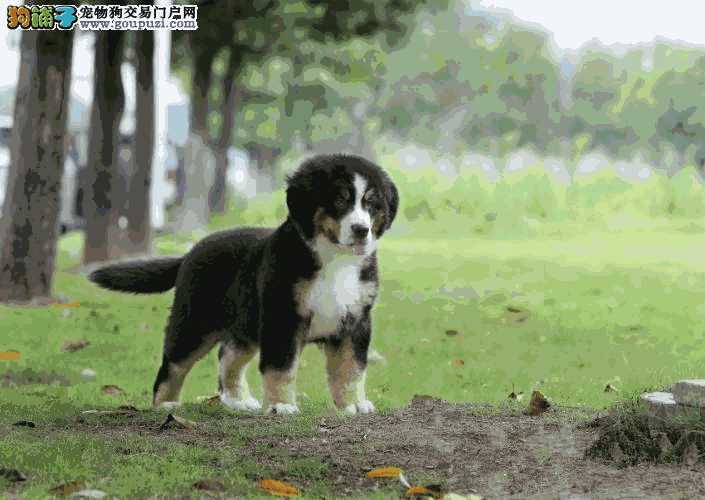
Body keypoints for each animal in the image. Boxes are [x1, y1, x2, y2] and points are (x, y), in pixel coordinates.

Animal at [88, 154, 396, 416]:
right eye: (340, 200)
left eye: (371, 204)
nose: (361, 230)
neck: (335, 261)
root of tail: (190, 252)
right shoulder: (282, 316)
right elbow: (282, 368)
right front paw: (282, 406)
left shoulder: (356, 320)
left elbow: (351, 369)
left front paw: (354, 405)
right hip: (194, 323)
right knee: (173, 365)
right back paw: (166, 405)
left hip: (245, 325)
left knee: (228, 356)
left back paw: (237, 401)